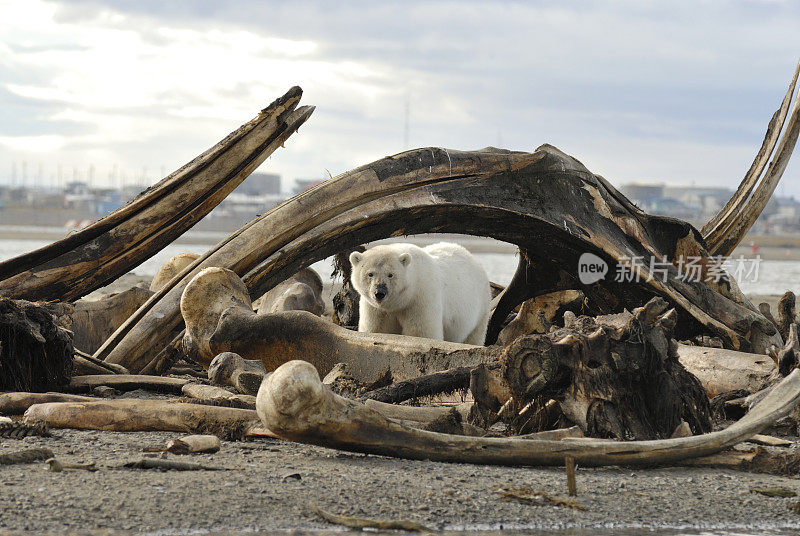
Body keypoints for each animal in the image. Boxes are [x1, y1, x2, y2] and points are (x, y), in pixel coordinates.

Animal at [352, 242, 490, 346]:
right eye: (370, 274)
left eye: (390, 274)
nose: (379, 293)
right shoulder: (375, 308)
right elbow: (376, 328)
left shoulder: (420, 298)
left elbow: (421, 332)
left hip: (481, 306)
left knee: (474, 335)